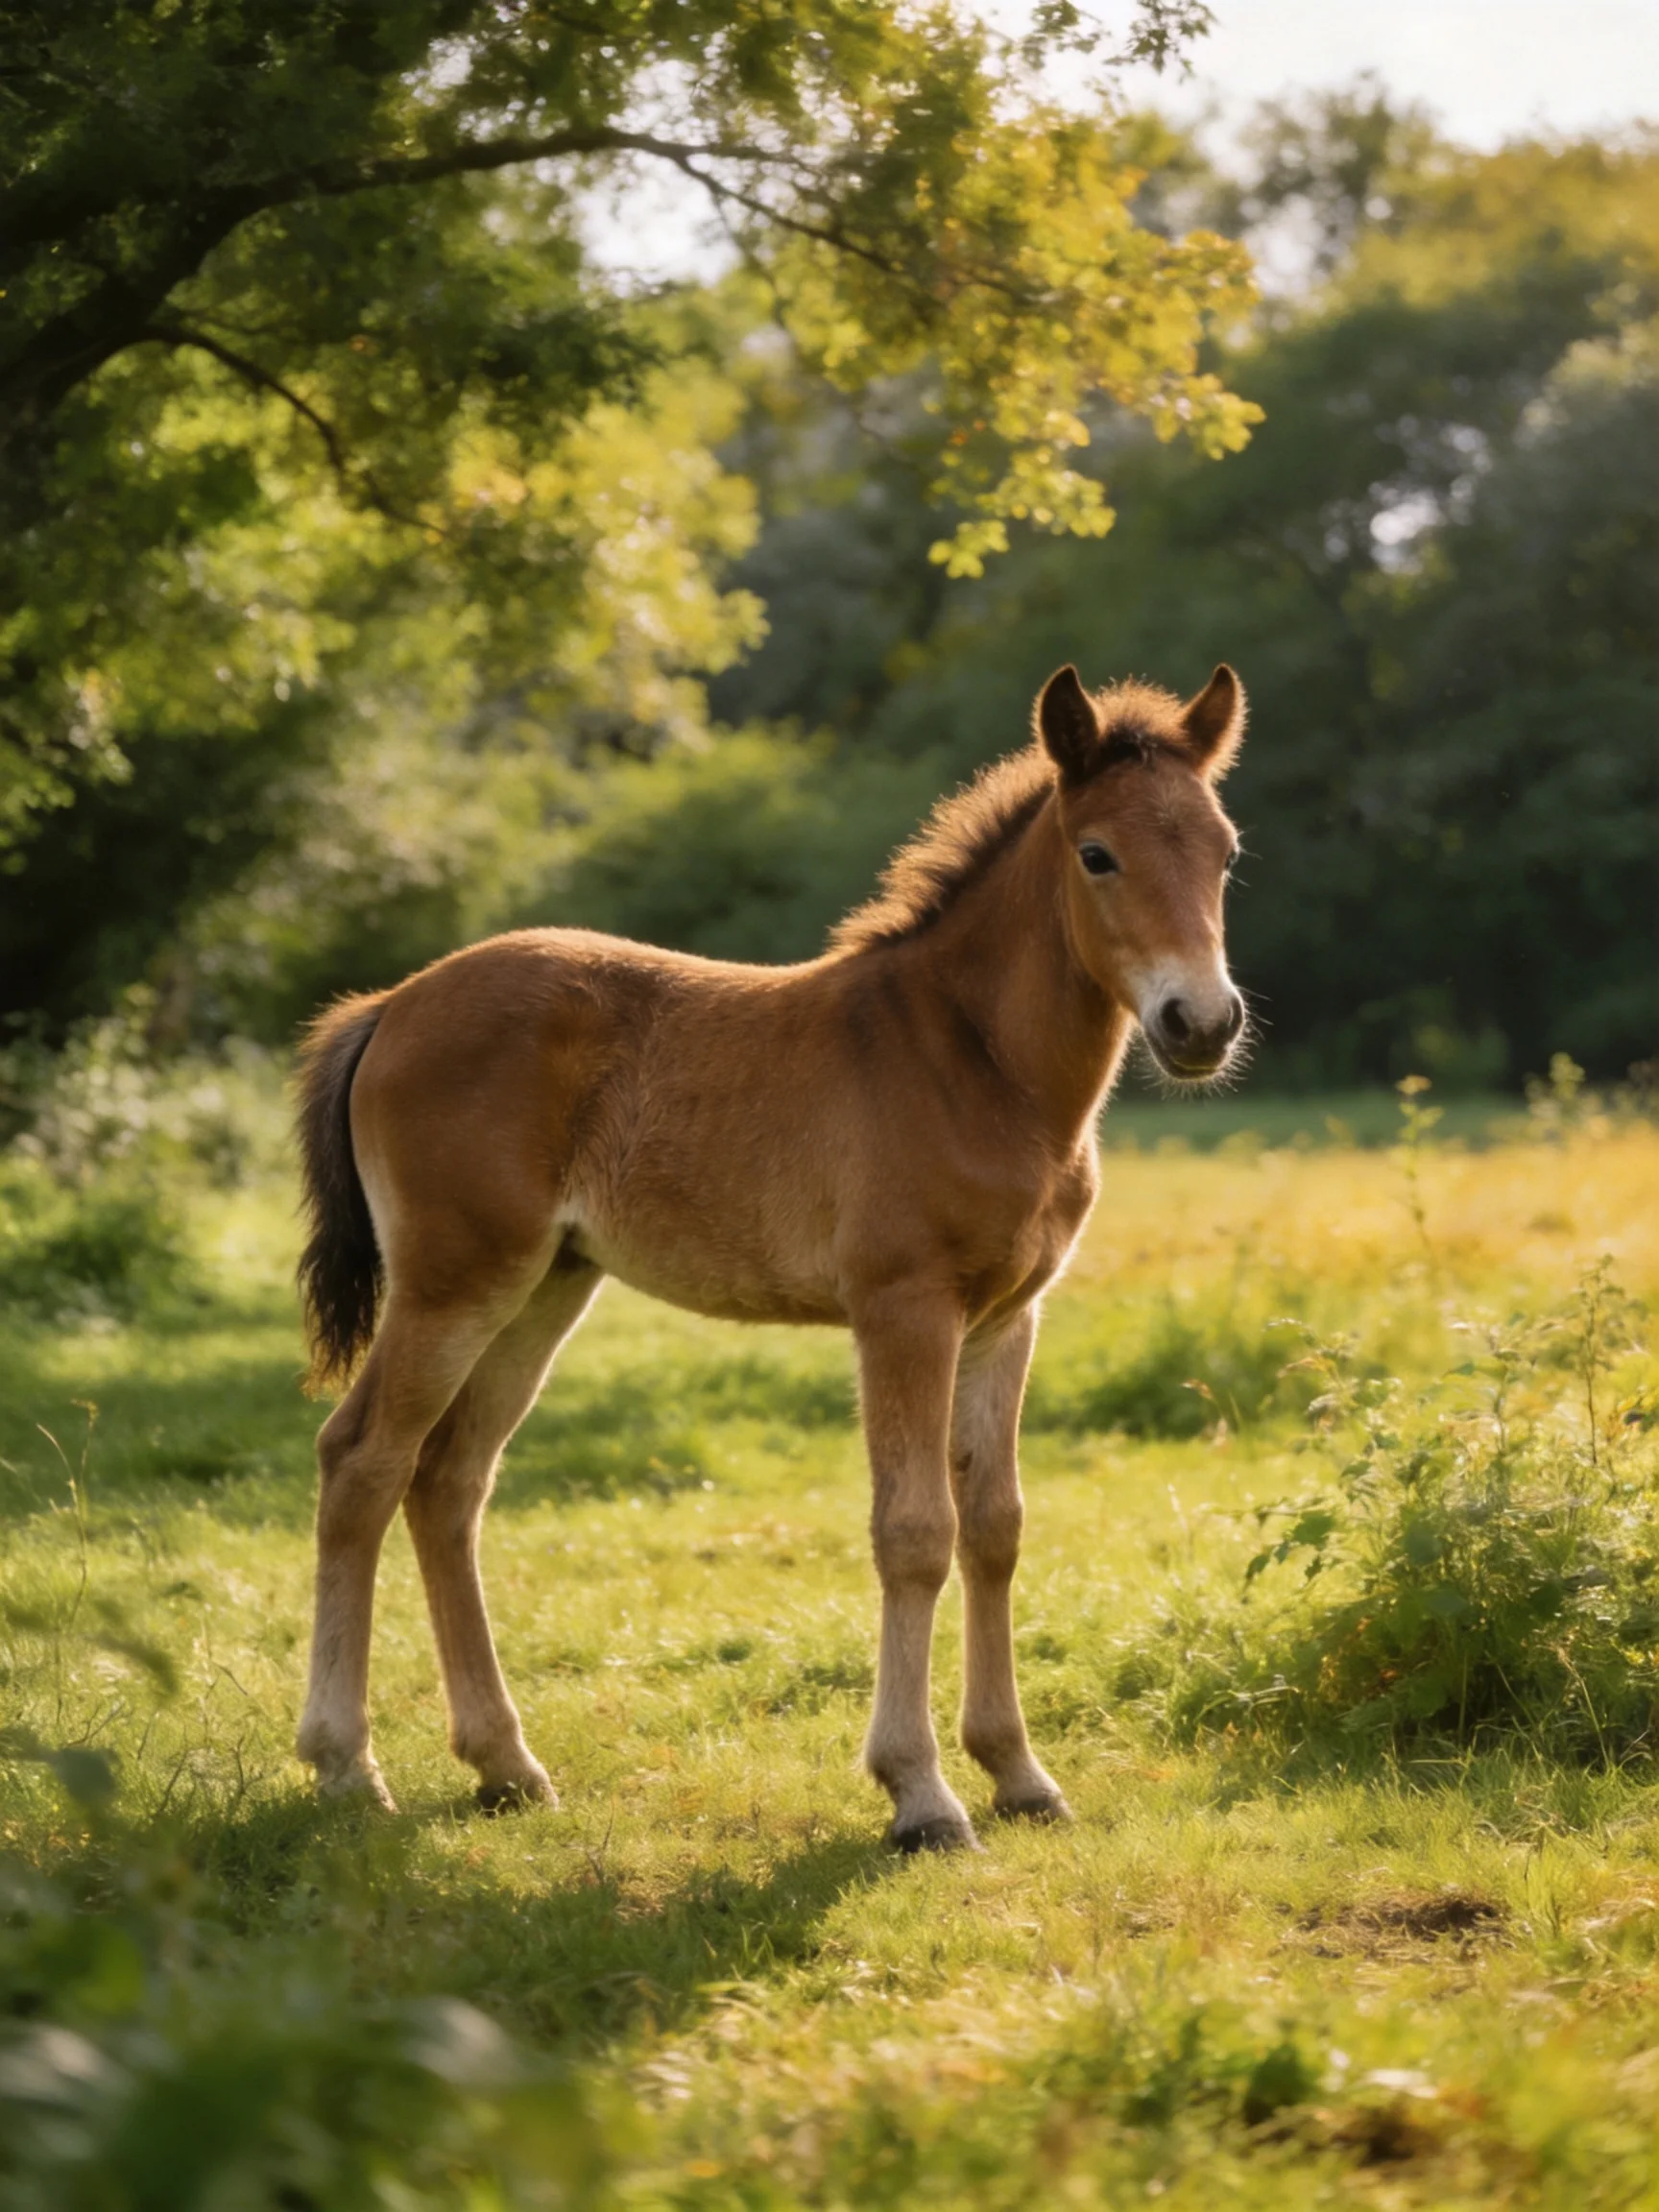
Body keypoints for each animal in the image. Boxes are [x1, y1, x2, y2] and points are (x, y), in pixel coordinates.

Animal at [293, 661, 1248, 1850]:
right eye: (1098, 854)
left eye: (1225, 851)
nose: (1201, 1023)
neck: (975, 1062)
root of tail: (390, 1005)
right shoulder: (903, 1310)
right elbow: (916, 1531)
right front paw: (921, 1794)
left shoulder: (1006, 1320)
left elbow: (995, 1528)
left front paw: (1020, 1775)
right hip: (451, 1284)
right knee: (363, 1460)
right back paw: (345, 1766)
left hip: (544, 1287)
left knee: (450, 1479)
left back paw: (506, 1765)